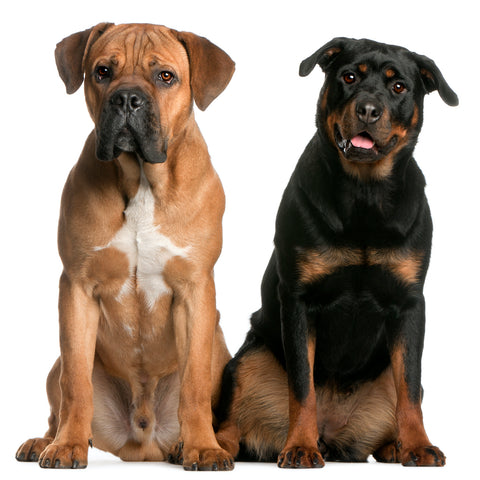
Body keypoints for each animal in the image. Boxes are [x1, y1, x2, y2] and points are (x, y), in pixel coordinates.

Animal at [16, 22, 236, 468]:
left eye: (165, 76)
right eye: (102, 72)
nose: (127, 98)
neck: (142, 180)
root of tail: (142, 442)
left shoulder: (195, 291)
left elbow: (194, 386)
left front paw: (203, 448)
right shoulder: (78, 288)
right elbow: (76, 384)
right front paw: (66, 445)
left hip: (220, 351)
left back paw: (196, 444)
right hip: (54, 366)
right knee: (60, 397)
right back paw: (44, 441)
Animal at [217, 38, 458, 468]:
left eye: (399, 87)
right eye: (348, 77)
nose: (368, 109)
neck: (365, 195)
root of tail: (333, 435)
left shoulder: (410, 303)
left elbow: (410, 386)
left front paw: (419, 445)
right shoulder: (299, 299)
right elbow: (302, 385)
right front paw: (300, 446)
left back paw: (395, 446)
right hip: (249, 358)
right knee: (232, 421)